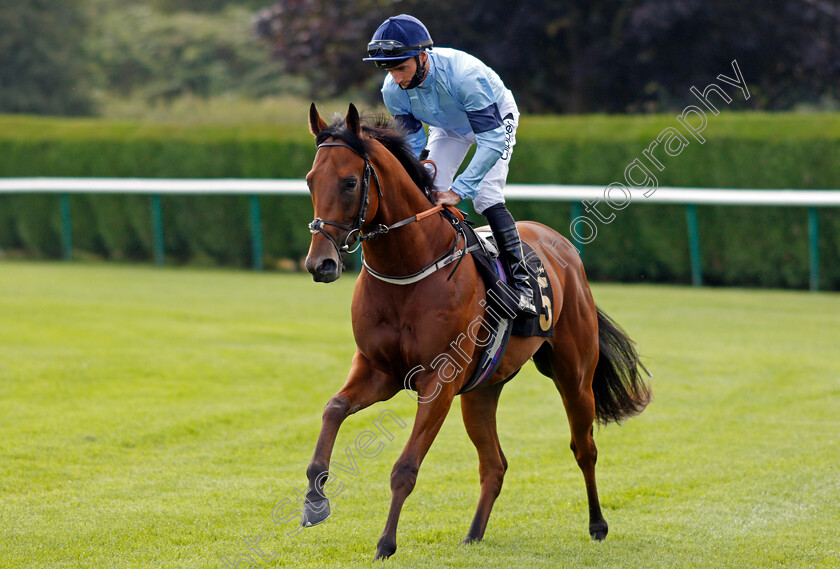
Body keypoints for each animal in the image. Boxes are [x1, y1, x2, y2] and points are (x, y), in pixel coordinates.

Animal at [302, 103, 648, 560]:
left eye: (349, 181)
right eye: (310, 179)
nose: (320, 263)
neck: (409, 269)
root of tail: (562, 246)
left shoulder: (439, 381)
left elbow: (405, 468)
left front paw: (385, 544)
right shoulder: (379, 370)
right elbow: (333, 409)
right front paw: (314, 499)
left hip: (573, 375)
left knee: (584, 448)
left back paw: (597, 524)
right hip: (482, 389)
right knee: (495, 464)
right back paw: (474, 533)